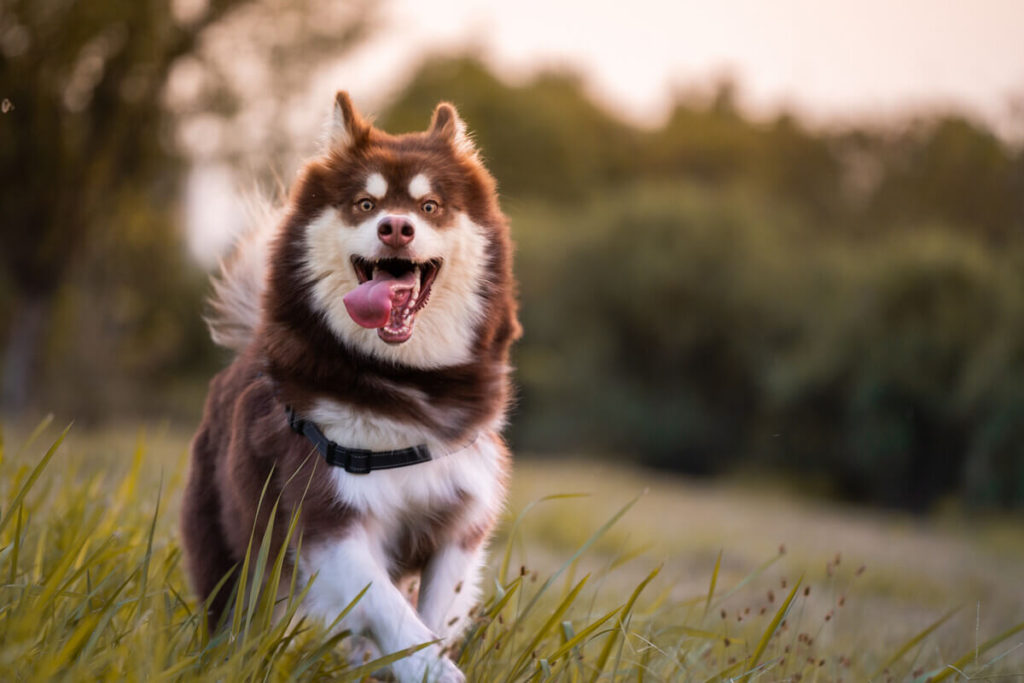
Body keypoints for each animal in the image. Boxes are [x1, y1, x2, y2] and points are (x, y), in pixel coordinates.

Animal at [180, 92, 520, 683]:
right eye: (365, 204)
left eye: (429, 206)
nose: (396, 228)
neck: (400, 384)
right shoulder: (328, 521)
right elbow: (395, 615)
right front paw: (435, 671)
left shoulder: (460, 521)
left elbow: (433, 616)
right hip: (237, 551)